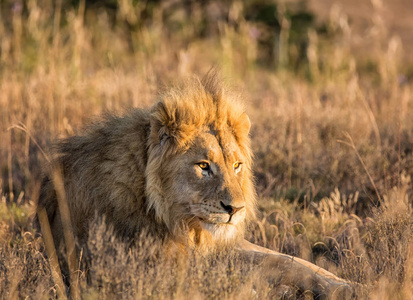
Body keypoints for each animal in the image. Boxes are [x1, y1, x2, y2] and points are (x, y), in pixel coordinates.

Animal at [35, 72, 352, 298]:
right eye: (203, 166)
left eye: (236, 166)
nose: (236, 210)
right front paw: (277, 291)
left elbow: (284, 260)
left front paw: (342, 286)